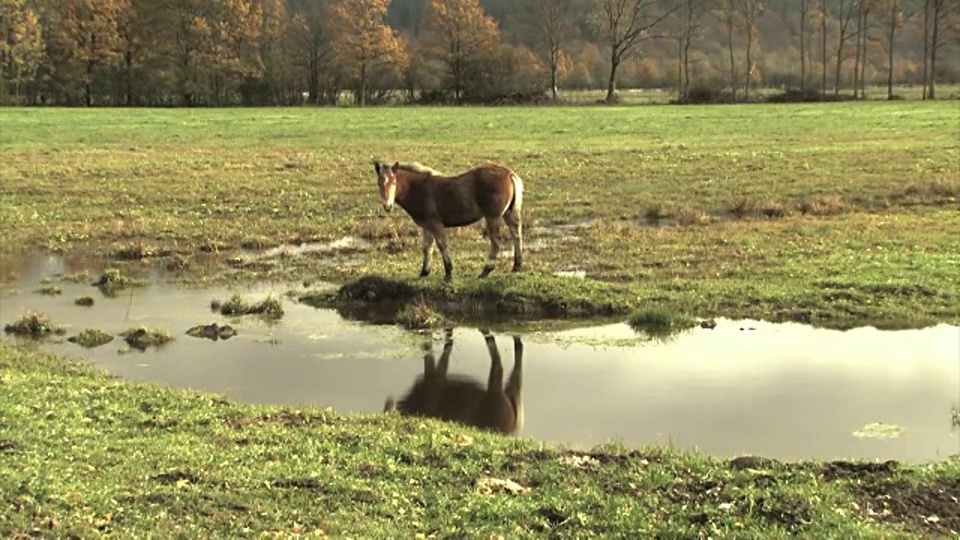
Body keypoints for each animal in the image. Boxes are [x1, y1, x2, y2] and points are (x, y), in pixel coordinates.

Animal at [376, 160, 524, 282]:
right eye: (379, 184)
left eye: (394, 182)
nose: (387, 205)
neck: (419, 188)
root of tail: (509, 174)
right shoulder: (427, 225)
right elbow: (427, 247)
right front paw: (424, 272)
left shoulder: (435, 224)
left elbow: (442, 245)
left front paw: (448, 273)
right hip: (509, 213)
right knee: (516, 235)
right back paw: (517, 266)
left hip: (492, 217)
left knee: (496, 242)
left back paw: (485, 271)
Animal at [382, 326, 524, 436]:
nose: (388, 402)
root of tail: (512, 427)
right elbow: (442, 345)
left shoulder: (433, 381)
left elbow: (433, 354)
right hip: (510, 393)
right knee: (516, 358)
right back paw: (516, 340)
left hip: (495, 393)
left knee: (498, 363)